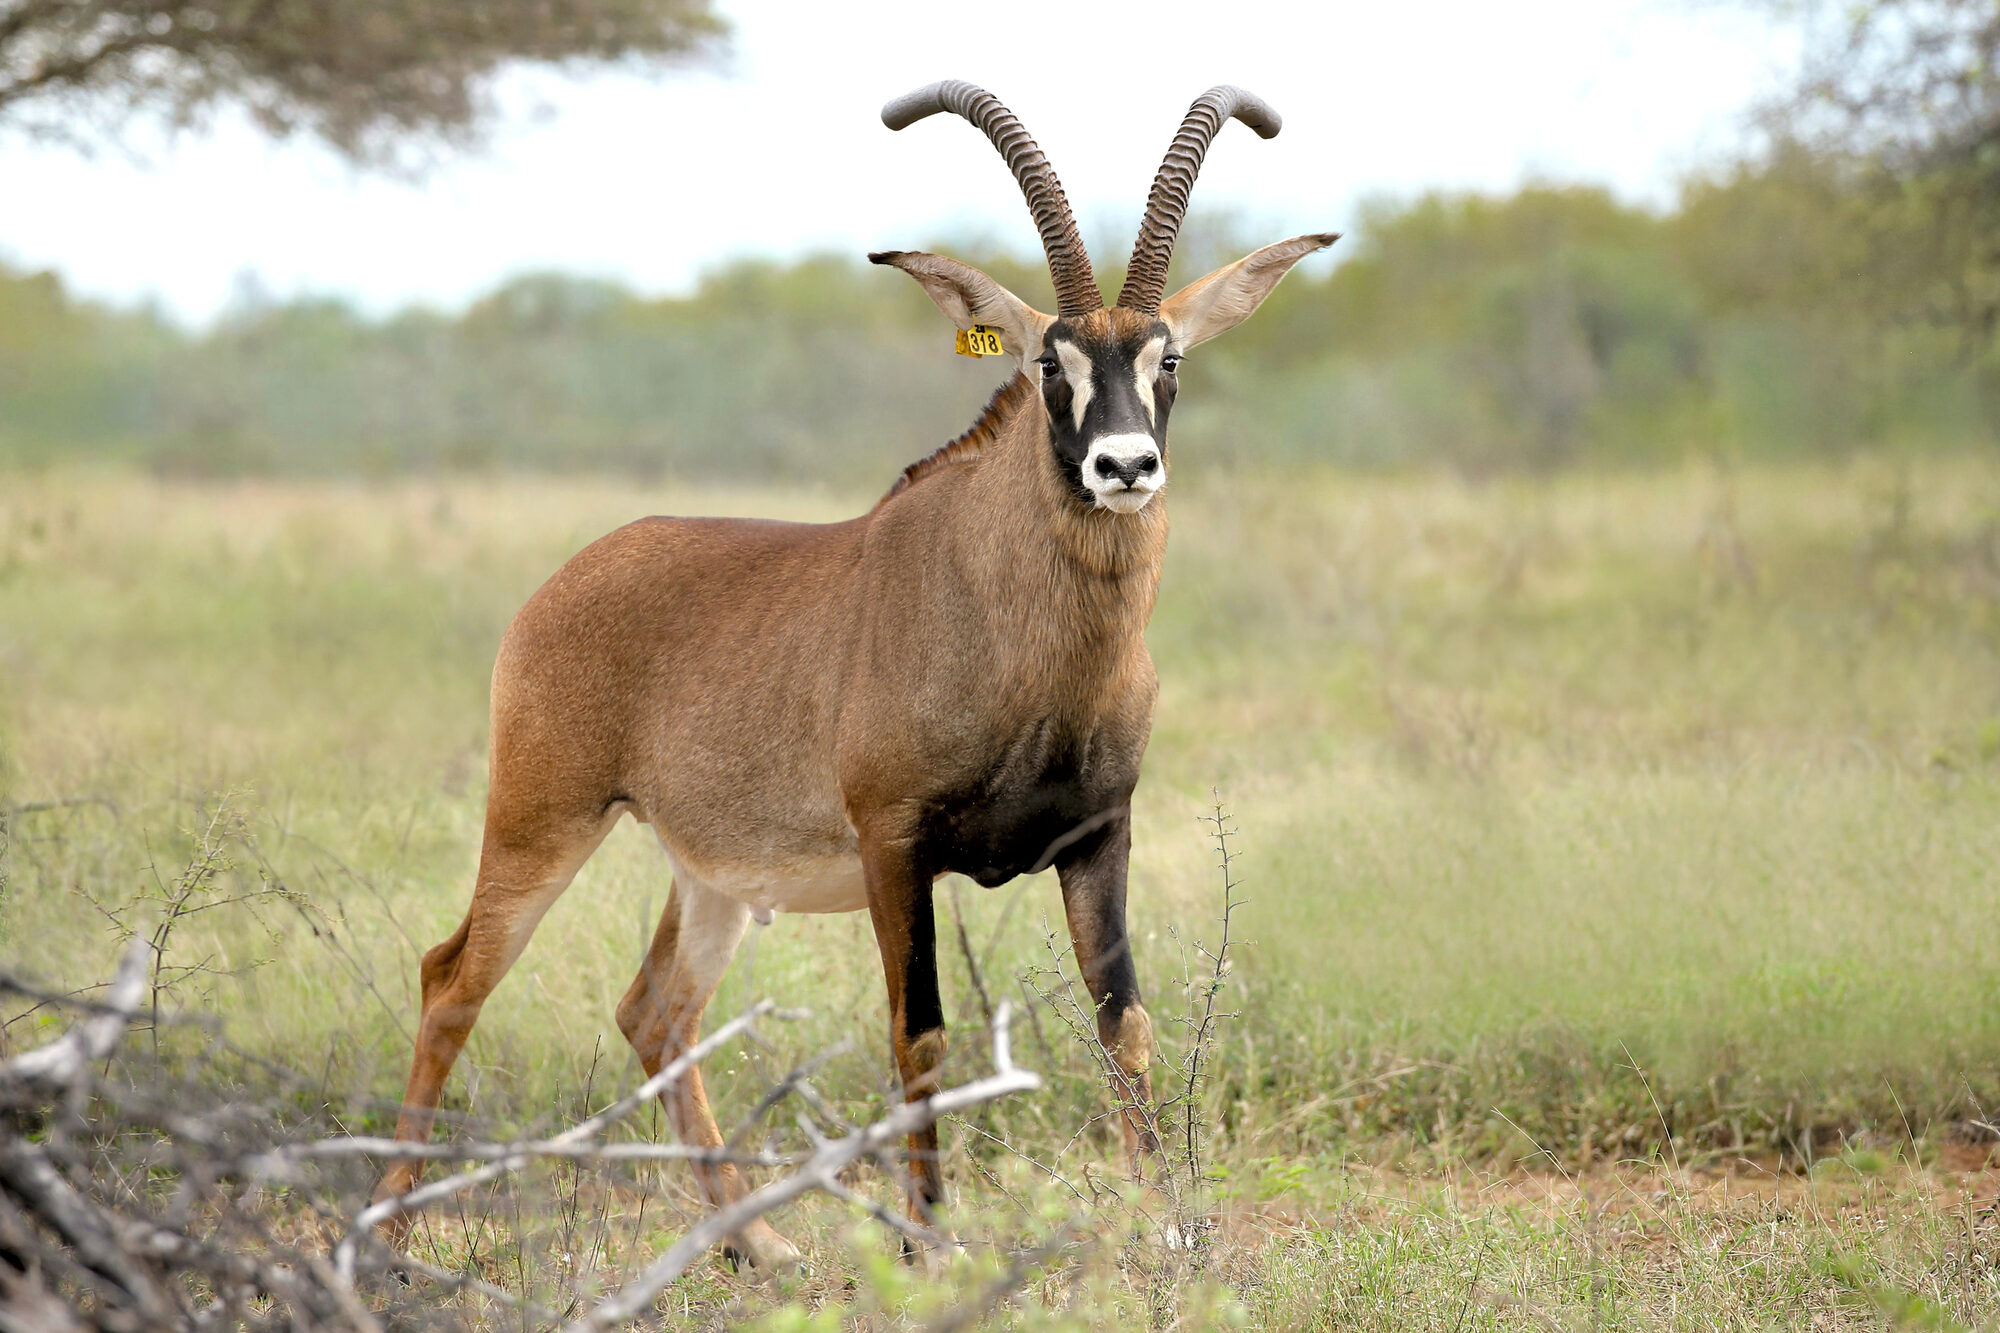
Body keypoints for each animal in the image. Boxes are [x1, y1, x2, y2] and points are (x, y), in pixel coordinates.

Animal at [372, 81, 1336, 1269]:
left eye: (1169, 359)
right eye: (1046, 361)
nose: (1123, 466)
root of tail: (565, 581)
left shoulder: (1098, 832)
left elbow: (1127, 1023)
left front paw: (1171, 1234)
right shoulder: (895, 843)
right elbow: (917, 1032)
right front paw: (930, 1239)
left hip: (711, 875)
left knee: (654, 1008)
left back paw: (758, 1243)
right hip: (540, 818)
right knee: (452, 976)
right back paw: (388, 1227)